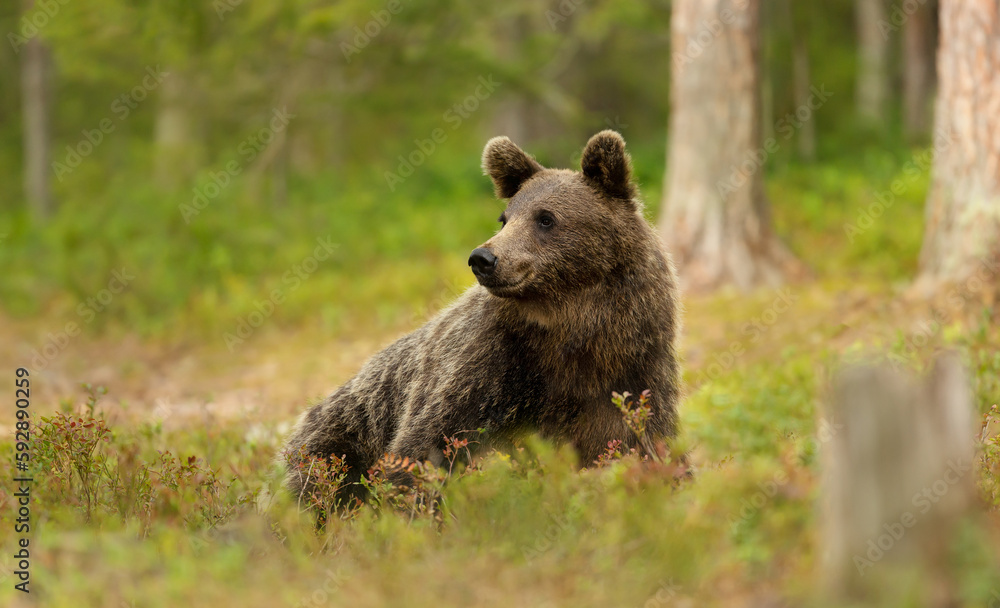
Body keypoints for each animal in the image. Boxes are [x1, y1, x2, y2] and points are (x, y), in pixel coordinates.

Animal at [282, 130, 681, 506]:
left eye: (546, 218)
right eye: (504, 218)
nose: (483, 258)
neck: (571, 328)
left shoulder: (634, 368)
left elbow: (645, 440)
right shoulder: (485, 363)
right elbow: (426, 443)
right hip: (342, 432)